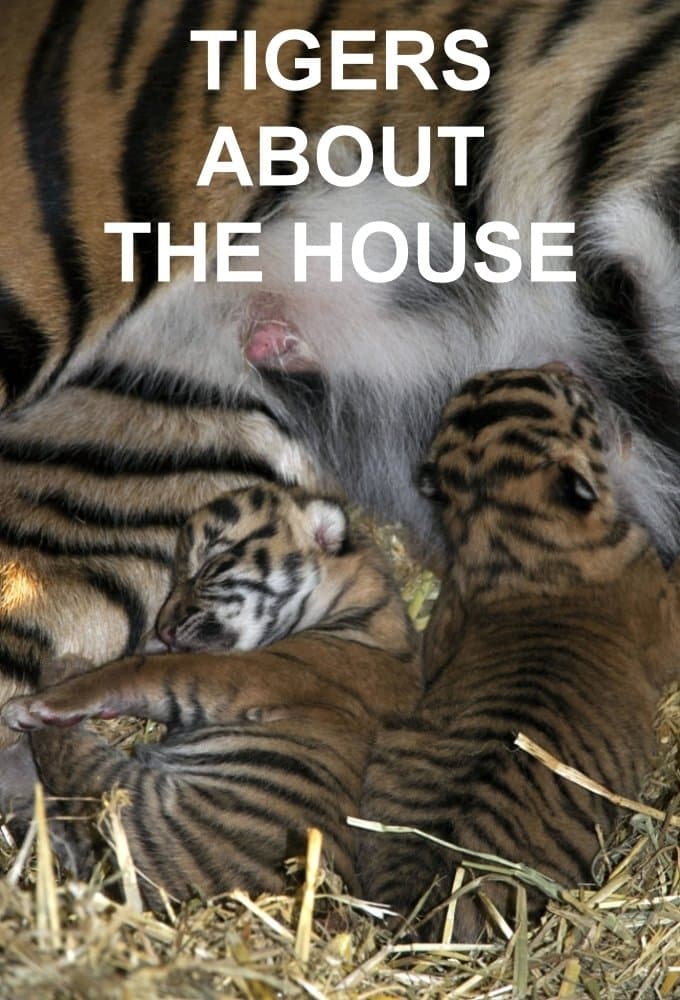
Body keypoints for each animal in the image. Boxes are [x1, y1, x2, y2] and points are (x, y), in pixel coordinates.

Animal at [1, 483, 420, 906]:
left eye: (208, 568)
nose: (165, 628)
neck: (362, 610)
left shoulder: (242, 674)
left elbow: (136, 671)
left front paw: (42, 702)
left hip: (121, 797)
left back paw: (53, 681)